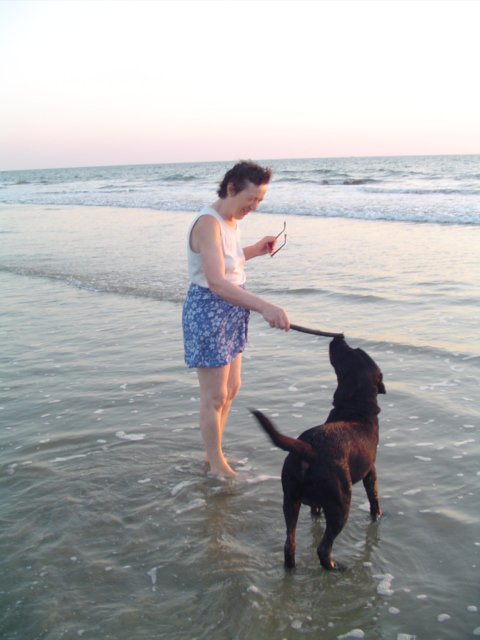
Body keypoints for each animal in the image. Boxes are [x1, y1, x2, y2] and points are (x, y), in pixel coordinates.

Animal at [251, 338, 386, 568]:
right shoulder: (371, 470)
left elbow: (315, 509)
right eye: (355, 350)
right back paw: (335, 567)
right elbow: (374, 497)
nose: (338, 338)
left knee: (289, 544)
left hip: (290, 499)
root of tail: (309, 448)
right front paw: (378, 516)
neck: (355, 407)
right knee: (323, 548)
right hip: (341, 504)